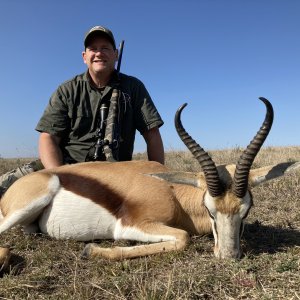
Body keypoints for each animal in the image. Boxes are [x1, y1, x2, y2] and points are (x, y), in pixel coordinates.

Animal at [0, 97, 300, 266]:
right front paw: (91, 250)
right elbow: (183, 238)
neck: (173, 193)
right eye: (210, 210)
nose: (228, 256)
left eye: (246, 211)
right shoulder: (131, 225)